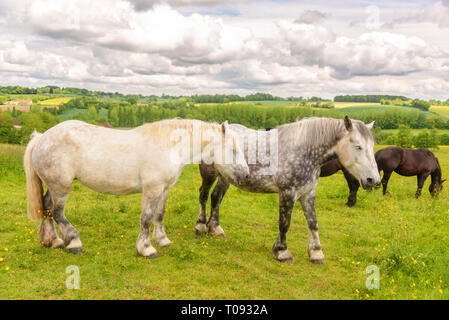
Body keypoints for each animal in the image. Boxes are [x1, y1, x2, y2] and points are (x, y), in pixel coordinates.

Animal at [24, 118, 248, 258]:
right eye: (233, 150)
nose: (246, 175)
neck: (168, 147)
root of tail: (41, 138)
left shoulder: (164, 189)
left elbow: (159, 215)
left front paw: (162, 240)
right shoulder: (152, 189)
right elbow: (146, 219)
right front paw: (147, 249)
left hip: (54, 186)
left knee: (46, 207)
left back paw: (52, 241)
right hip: (61, 187)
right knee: (57, 212)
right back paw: (73, 242)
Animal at [195, 116, 378, 264]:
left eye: (372, 146)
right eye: (358, 146)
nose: (373, 180)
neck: (305, 151)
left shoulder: (308, 194)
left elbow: (313, 222)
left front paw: (316, 253)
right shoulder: (288, 193)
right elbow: (284, 223)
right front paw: (282, 252)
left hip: (226, 177)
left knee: (216, 197)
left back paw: (215, 228)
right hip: (209, 174)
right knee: (204, 196)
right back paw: (201, 226)